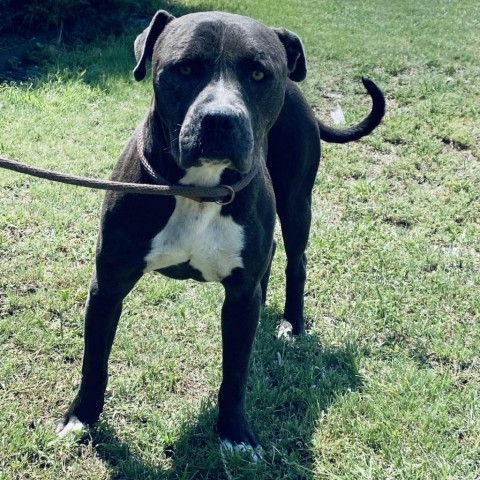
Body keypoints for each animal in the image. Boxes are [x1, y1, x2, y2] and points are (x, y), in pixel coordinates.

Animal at [55, 9, 386, 456]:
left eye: (259, 74)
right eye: (185, 68)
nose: (220, 119)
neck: (199, 189)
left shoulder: (240, 298)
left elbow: (235, 374)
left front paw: (235, 433)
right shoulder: (108, 285)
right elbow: (94, 362)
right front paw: (81, 418)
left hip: (297, 204)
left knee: (296, 261)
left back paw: (292, 324)